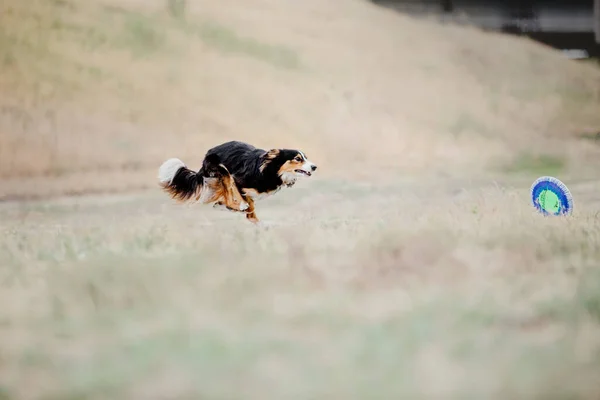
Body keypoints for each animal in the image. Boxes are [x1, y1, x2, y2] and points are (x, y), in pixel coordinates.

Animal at [159, 141, 318, 223]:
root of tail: (207, 155)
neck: (270, 170)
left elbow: (251, 208)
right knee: (229, 192)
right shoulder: (238, 180)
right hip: (221, 170)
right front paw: (241, 207)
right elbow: (241, 200)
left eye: (305, 157)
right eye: (297, 158)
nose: (314, 167)